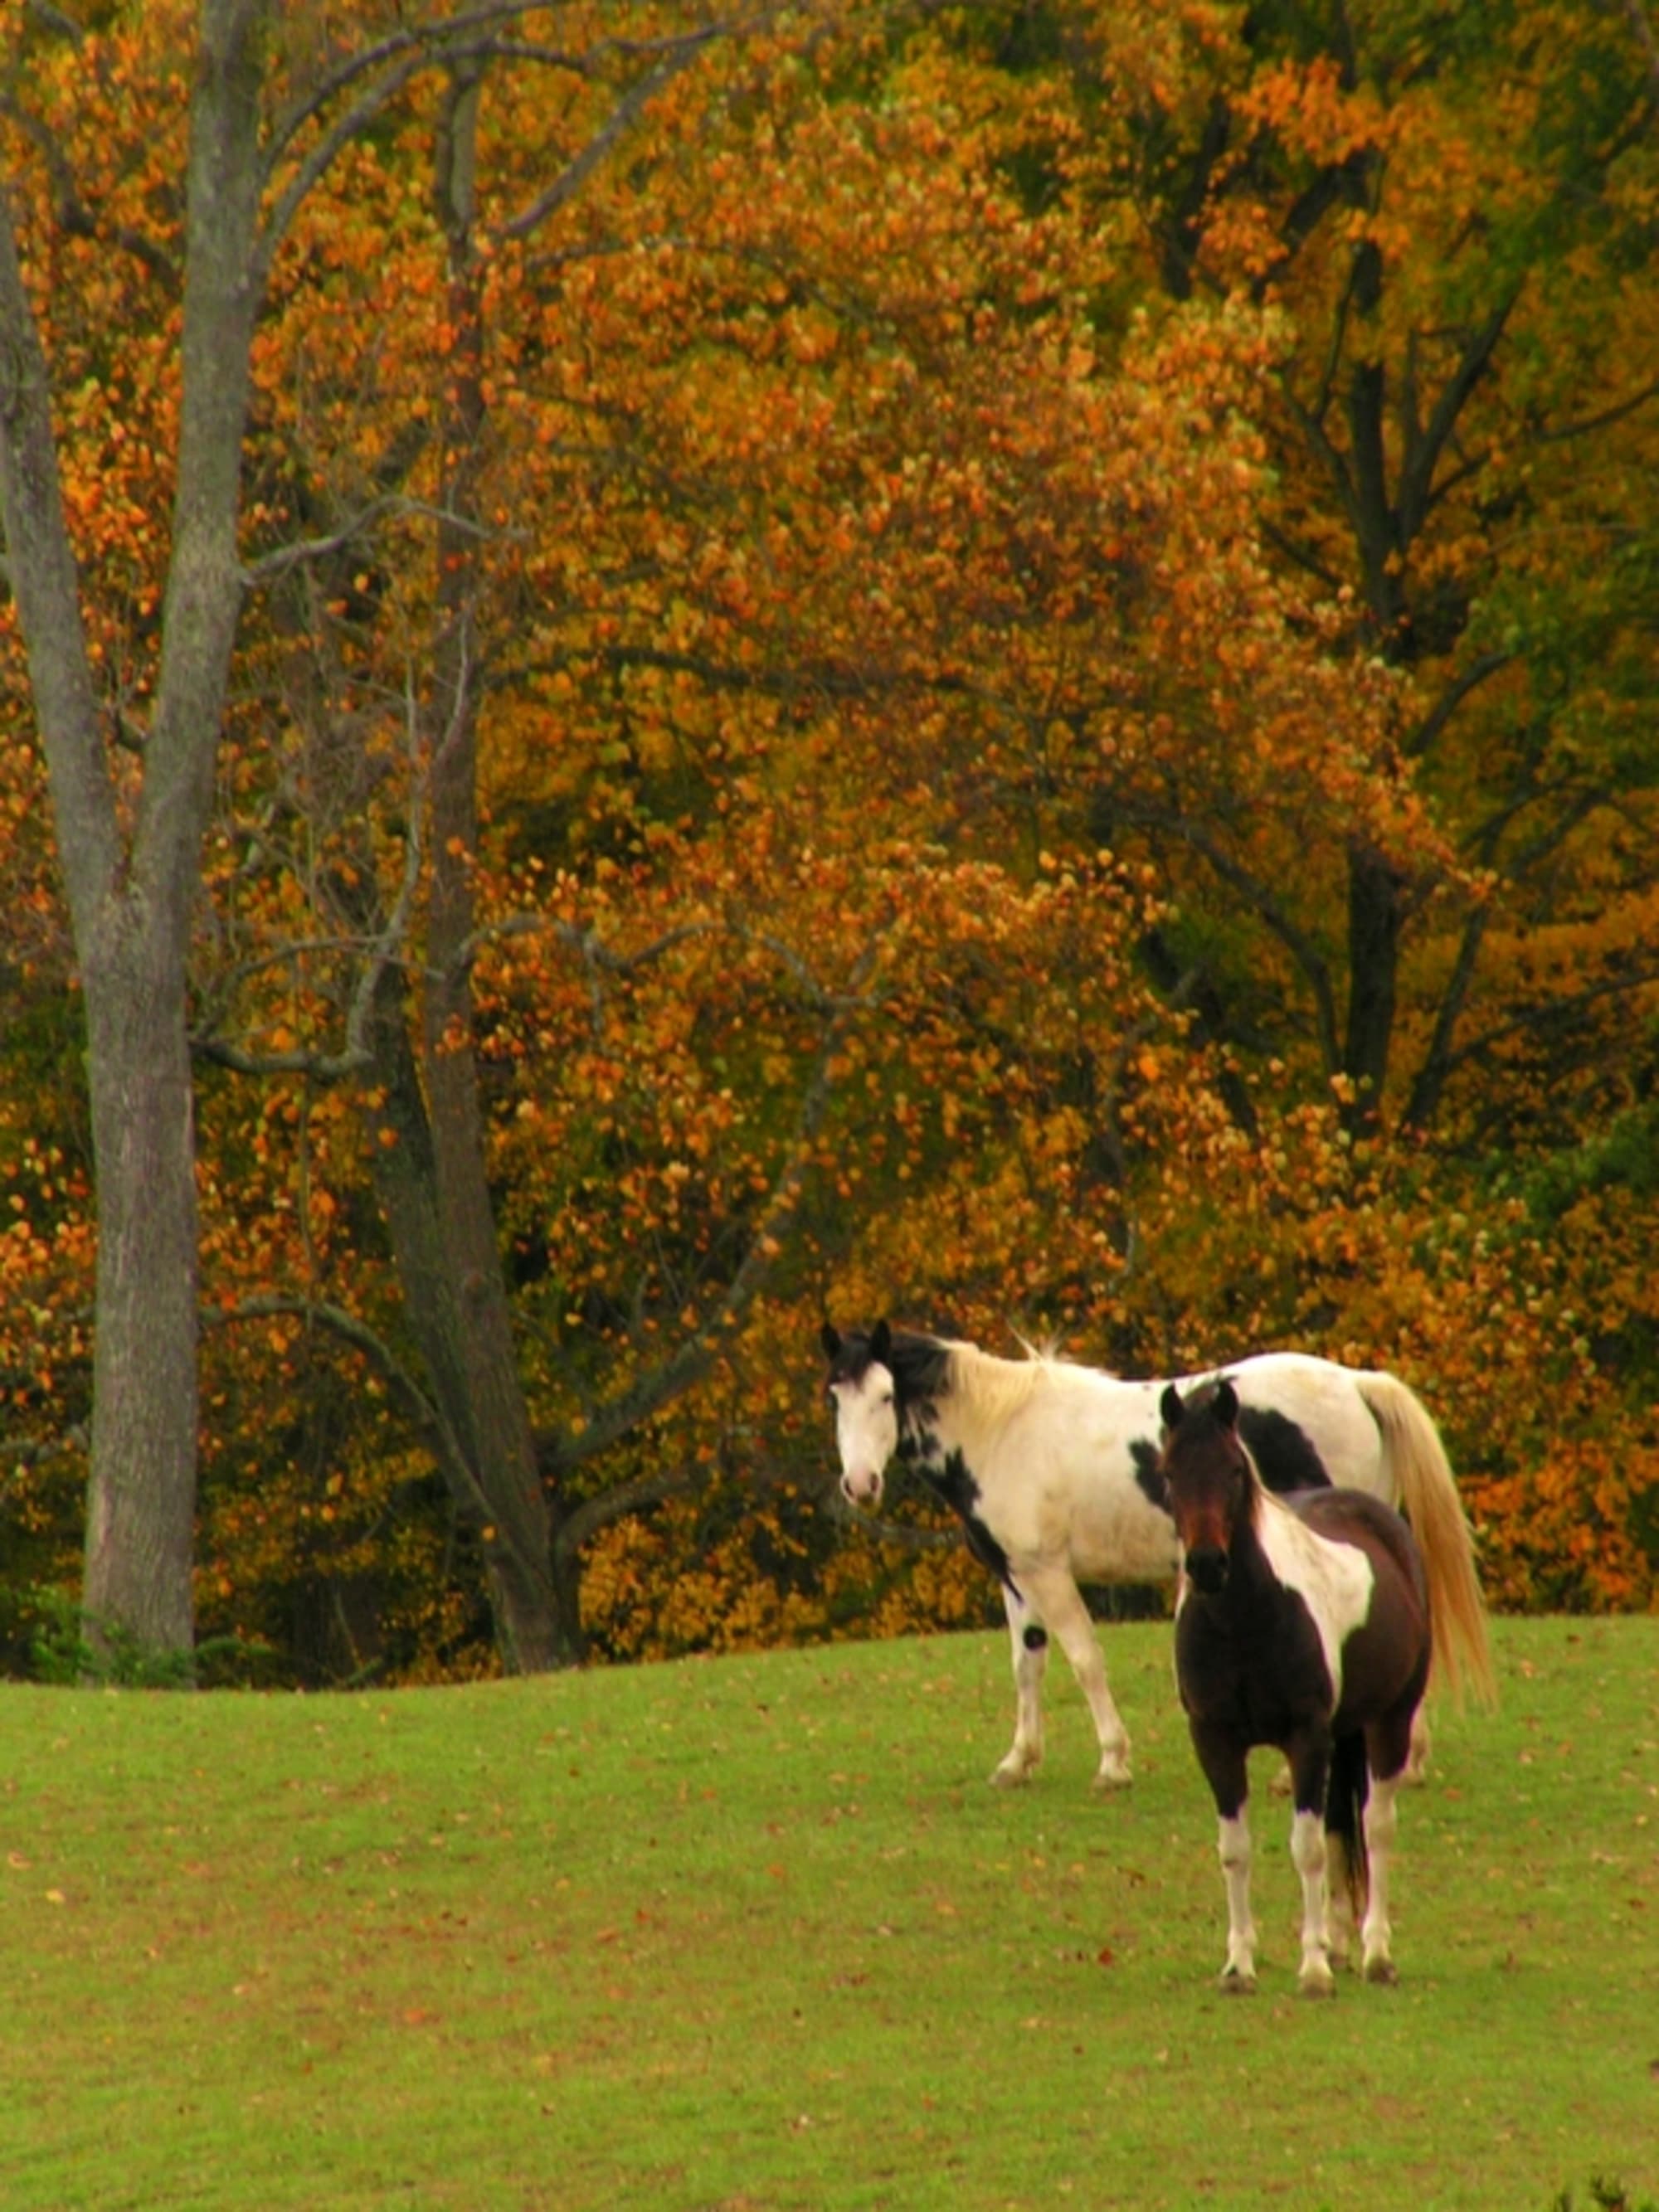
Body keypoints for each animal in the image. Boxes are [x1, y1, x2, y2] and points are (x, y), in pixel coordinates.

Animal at [820, 1319, 1490, 1791]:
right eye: (835, 1398)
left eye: (886, 1396)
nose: (859, 1484)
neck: (1002, 1429)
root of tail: (1354, 1382)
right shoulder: (1017, 1578)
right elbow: (1027, 1665)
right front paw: (1019, 1761)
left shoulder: (1048, 1573)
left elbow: (1085, 1659)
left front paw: (1113, 1761)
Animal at [1156, 1375, 1492, 1993]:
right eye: (1169, 1473)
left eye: (1234, 1470)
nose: (1208, 1565)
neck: (1246, 1620)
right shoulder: (1214, 1739)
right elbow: (1235, 1849)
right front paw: (1239, 1965)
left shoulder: (1305, 1737)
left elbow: (1307, 1847)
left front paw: (1312, 1968)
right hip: (1343, 1734)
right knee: (1342, 1823)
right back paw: (1338, 1940)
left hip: (1386, 1723)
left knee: (1375, 1826)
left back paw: (1374, 1952)